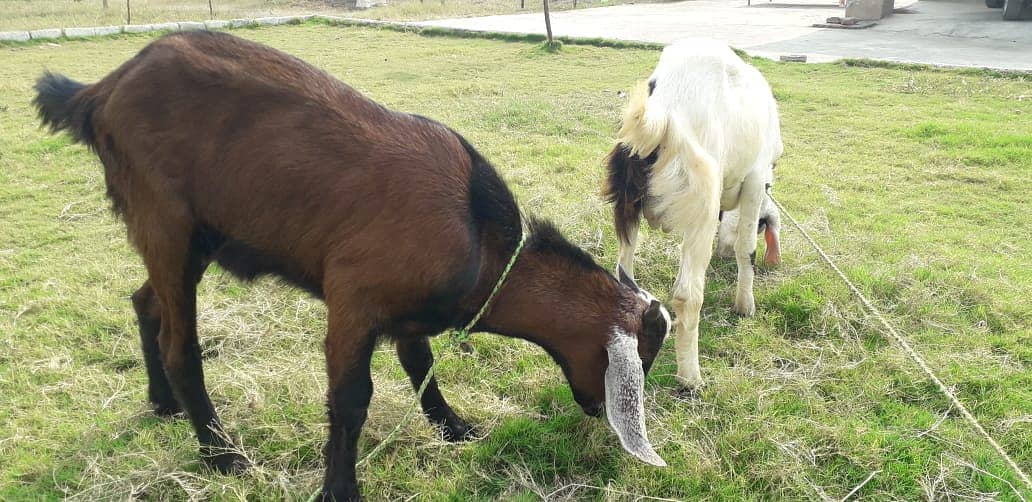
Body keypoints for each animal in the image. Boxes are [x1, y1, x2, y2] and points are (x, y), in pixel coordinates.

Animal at [34, 32, 668, 502]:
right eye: (640, 360)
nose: (597, 413)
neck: (481, 241)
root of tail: (102, 90)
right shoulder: (353, 300)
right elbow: (350, 398)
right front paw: (339, 488)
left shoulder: (408, 315)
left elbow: (421, 365)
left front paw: (453, 427)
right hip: (167, 221)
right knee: (178, 343)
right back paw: (222, 455)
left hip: (196, 236)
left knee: (145, 302)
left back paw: (164, 404)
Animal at [602, 39, 780, 388]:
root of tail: (662, 114)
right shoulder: (754, 180)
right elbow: (746, 249)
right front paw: (745, 306)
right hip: (702, 204)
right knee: (688, 296)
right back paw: (690, 378)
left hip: (627, 207)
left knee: (623, 272)